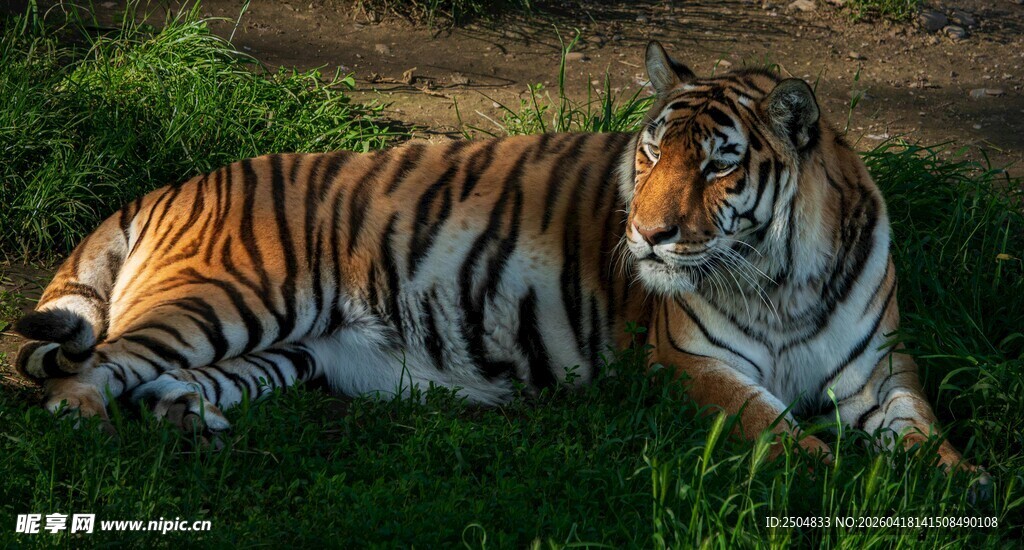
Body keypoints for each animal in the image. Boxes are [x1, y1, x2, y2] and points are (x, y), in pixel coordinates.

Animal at [14, 41, 980, 477]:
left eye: (719, 164)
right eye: (651, 153)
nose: (648, 236)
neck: (782, 279)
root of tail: (171, 185)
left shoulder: (881, 368)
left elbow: (928, 437)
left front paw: (958, 488)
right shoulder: (692, 365)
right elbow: (782, 439)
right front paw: (843, 480)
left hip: (280, 350)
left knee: (157, 381)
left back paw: (187, 421)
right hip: (227, 298)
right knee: (81, 373)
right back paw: (92, 429)